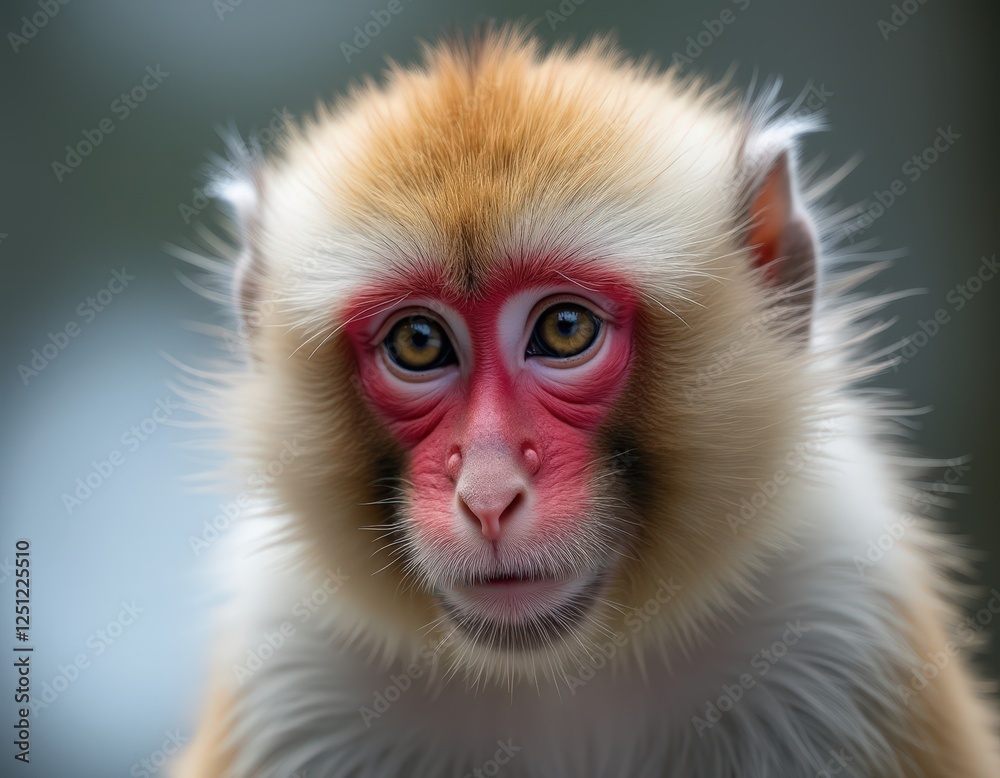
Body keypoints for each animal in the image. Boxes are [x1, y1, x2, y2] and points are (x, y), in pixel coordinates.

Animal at [174, 27, 1000, 778]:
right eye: (418, 342)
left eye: (564, 330)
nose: (489, 495)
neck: (560, 678)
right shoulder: (288, 674)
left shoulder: (843, 620)